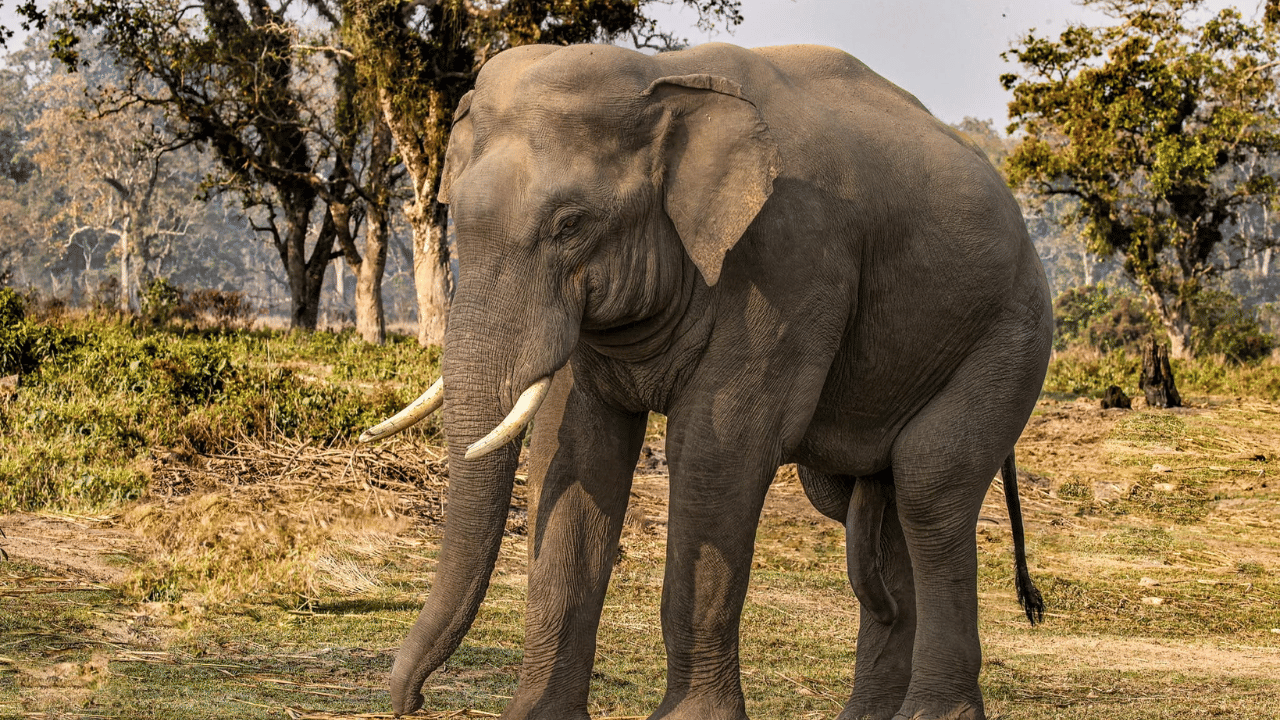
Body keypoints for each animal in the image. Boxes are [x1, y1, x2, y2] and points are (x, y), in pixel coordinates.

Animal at [362, 41, 1053, 720]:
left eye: (570, 224)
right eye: (456, 219)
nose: (409, 701)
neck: (664, 76)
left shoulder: (787, 262)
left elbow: (717, 450)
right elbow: (576, 447)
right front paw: (537, 715)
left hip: (1012, 334)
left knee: (929, 483)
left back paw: (930, 710)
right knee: (864, 499)